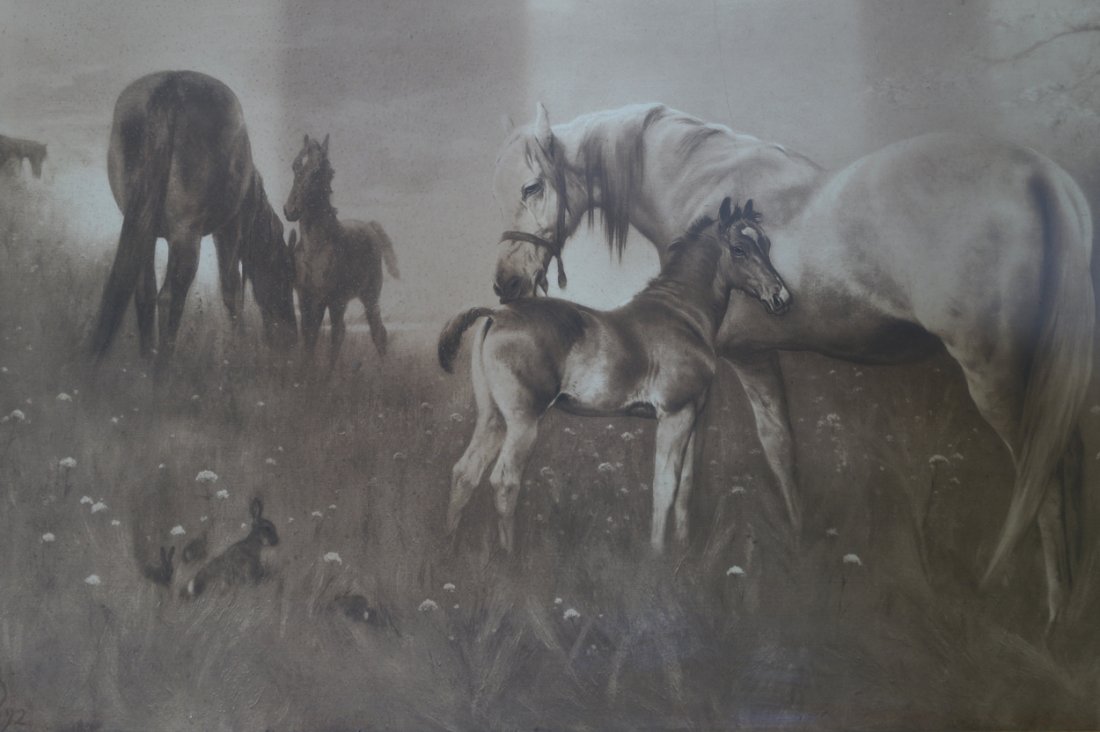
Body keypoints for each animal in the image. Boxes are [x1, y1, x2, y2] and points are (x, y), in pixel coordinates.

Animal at [90, 71, 297, 368]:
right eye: (287, 274)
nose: (291, 338)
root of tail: (170, 86)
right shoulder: (229, 231)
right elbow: (232, 292)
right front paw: (238, 350)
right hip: (186, 236)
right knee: (169, 298)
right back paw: (161, 372)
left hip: (144, 230)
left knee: (144, 294)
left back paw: (146, 364)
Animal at [283, 134, 400, 370]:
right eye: (295, 165)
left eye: (318, 171)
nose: (290, 210)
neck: (315, 248)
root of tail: (369, 225)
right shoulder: (305, 298)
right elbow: (308, 339)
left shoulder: (329, 299)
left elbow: (327, 337)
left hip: (367, 297)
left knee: (376, 332)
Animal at [440, 197, 791, 554]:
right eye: (739, 249)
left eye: (766, 244)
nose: (780, 298)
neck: (681, 315)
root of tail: (498, 313)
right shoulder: (675, 414)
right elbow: (665, 486)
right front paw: (657, 555)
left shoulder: (694, 416)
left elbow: (685, 486)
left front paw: (683, 550)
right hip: (523, 421)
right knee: (504, 481)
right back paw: (507, 557)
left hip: (493, 417)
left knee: (465, 472)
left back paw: (450, 547)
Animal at [491, 103, 1095, 624]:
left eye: (532, 186)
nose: (505, 284)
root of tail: (1046, 179)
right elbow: (745, 457)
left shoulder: (743, 359)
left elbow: (753, 453)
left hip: (998, 378)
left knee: (1042, 478)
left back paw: (1053, 611)